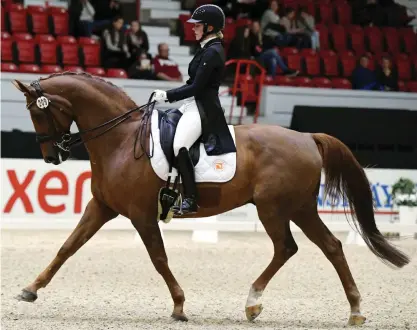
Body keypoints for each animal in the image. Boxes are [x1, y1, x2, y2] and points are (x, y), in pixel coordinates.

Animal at [11, 73, 408, 324]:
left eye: (37, 112)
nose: (51, 157)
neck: (121, 139)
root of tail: (307, 137)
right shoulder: (102, 207)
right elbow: (67, 247)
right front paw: (30, 290)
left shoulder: (141, 215)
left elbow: (159, 259)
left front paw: (179, 306)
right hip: (299, 208)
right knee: (328, 247)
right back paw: (351, 310)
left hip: (276, 208)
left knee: (289, 247)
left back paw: (256, 303)